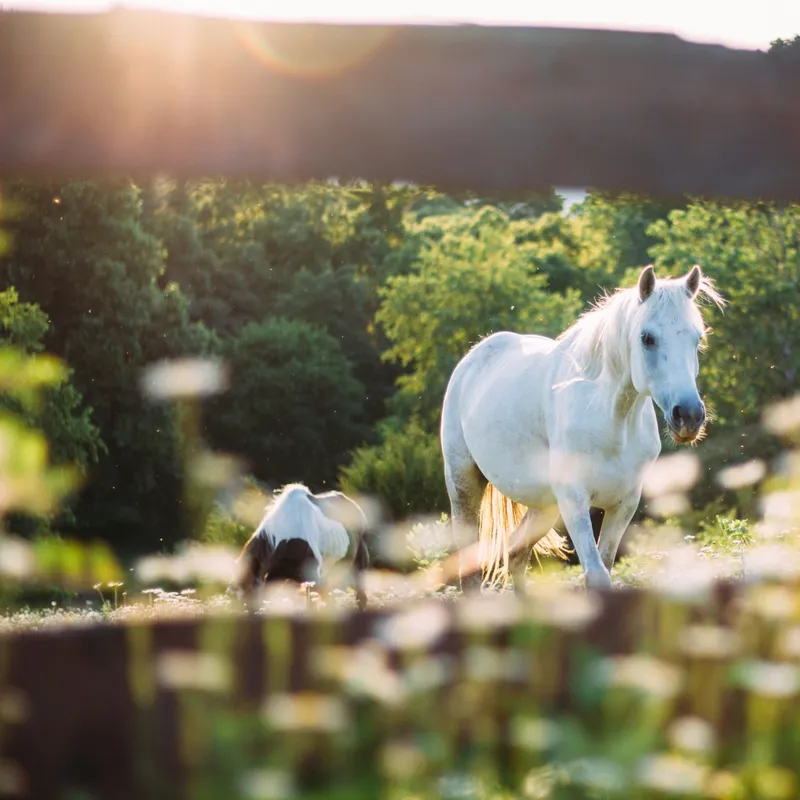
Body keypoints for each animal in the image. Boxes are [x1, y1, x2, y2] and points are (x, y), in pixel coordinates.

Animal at [440, 264, 725, 592]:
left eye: (696, 339)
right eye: (647, 338)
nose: (688, 416)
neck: (611, 422)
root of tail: (473, 358)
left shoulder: (624, 504)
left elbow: (606, 565)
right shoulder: (574, 499)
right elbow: (596, 574)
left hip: (545, 506)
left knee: (516, 553)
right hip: (464, 484)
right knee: (470, 565)